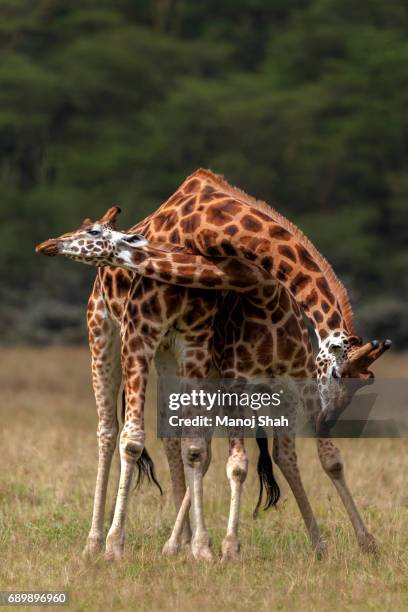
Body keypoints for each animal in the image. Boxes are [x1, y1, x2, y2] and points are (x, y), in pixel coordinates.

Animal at [36, 170, 390, 560]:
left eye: (363, 384)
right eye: (339, 375)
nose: (51, 243)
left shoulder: (200, 344)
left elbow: (202, 448)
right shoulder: (142, 334)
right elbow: (136, 441)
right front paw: (119, 546)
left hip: (172, 358)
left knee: (179, 439)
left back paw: (181, 542)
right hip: (104, 334)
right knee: (109, 432)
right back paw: (97, 542)